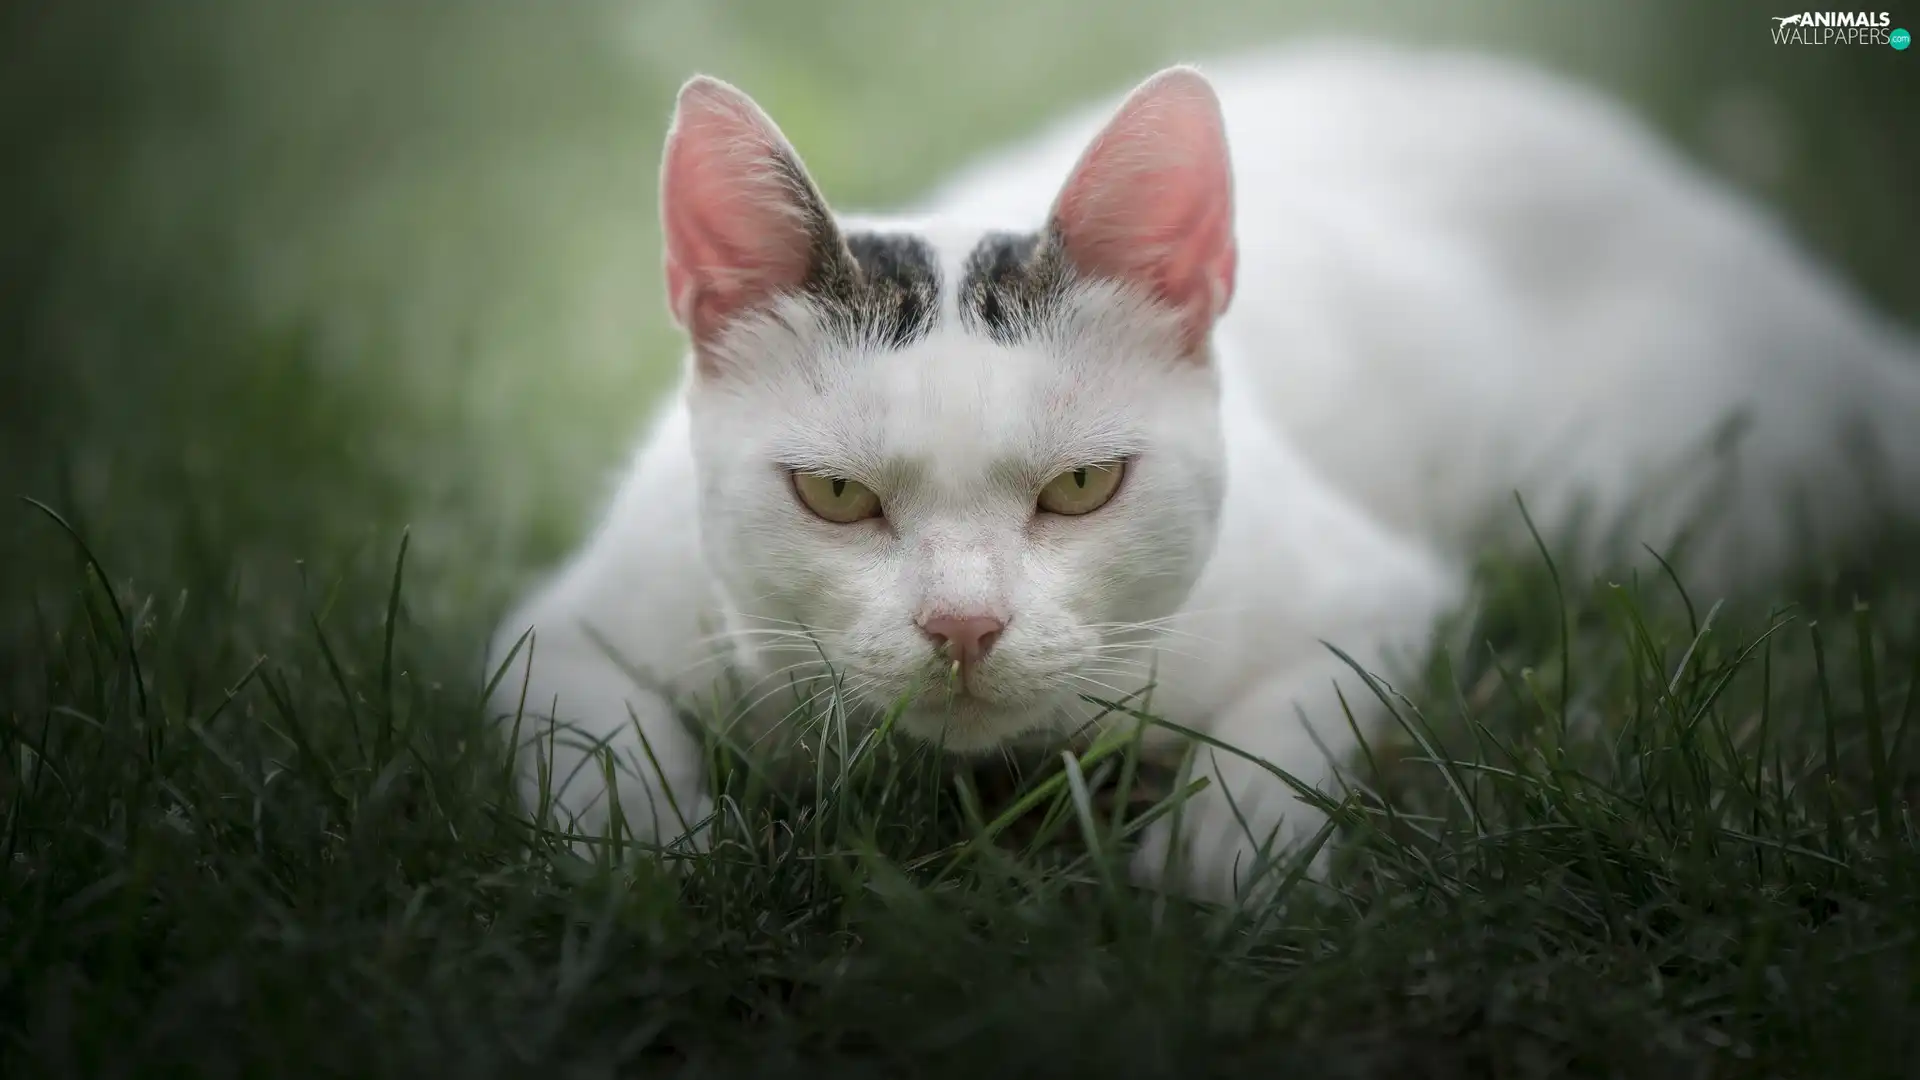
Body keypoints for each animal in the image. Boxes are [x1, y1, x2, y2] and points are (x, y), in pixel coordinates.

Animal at [487, 42, 1920, 899]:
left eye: (1081, 489)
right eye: (836, 496)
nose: (963, 627)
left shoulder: (1368, 592)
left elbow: (1300, 710)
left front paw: (1222, 860)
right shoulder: (567, 621)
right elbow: (584, 729)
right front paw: (647, 858)